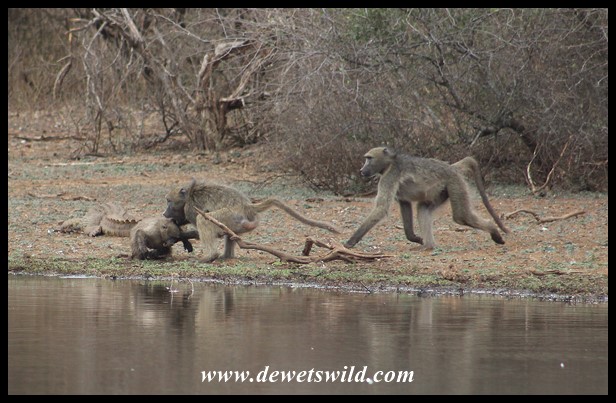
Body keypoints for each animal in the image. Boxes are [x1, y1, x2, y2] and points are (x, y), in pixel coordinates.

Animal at [163, 180, 341, 262]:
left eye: (168, 201)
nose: (165, 213)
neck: (189, 196)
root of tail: (248, 206)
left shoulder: (191, 208)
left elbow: (200, 220)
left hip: (230, 216)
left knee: (204, 219)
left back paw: (211, 256)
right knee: (229, 234)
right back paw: (226, 256)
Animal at [344, 147, 507, 250]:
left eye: (369, 158)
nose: (361, 170)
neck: (391, 163)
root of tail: (452, 167)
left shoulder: (389, 177)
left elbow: (381, 208)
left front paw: (350, 242)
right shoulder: (399, 193)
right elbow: (405, 205)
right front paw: (415, 238)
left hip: (455, 183)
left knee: (461, 216)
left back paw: (494, 231)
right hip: (441, 191)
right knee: (423, 209)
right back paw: (428, 246)